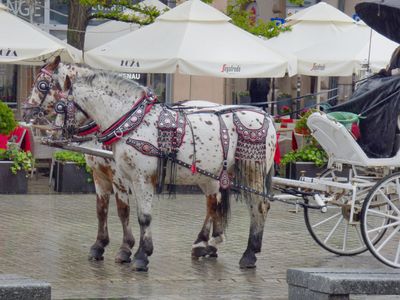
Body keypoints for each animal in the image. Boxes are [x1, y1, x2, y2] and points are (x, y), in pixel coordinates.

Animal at [24, 56, 276, 272]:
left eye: (43, 86)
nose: (26, 112)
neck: (128, 121)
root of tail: (267, 116)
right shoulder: (104, 175)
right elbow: (104, 210)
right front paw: (101, 247)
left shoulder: (135, 178)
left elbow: (135, 214)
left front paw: (136, 254)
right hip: (211, 174)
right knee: (213, 204)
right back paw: (205, 244)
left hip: (251, 170)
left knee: (259, 206)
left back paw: (248, 254)